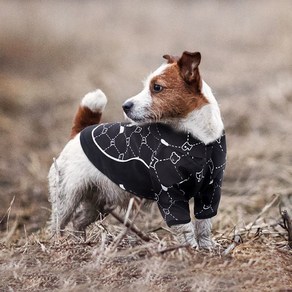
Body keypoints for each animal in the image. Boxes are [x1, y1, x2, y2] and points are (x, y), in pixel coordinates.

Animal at [48, 51, 227, 248]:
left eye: (157, 87)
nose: (125, 106)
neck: (198, 139)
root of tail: (78, 134)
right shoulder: (170, 195)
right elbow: (186, 228)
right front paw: (190, 249)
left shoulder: (210, 192)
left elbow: (203, 225)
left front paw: (206, 248)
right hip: (66, 199)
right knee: (57, 225)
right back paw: (57, 244)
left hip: (97, 203)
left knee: (78, 221)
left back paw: (81, 242)